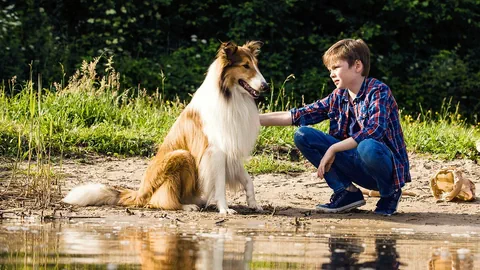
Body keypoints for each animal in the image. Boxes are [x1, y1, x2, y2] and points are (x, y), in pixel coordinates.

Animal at [62, 40, 268, 213]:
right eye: (245, 66)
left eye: (256, 65)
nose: (266, 86)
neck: (230, 96)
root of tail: (141, 192)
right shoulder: (215, 151)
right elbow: (219, 185)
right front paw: (224, 209)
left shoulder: (231, 149)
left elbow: (248, 179)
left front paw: (254, 204)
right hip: (181, 155)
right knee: (161, 201)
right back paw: (187, 206)